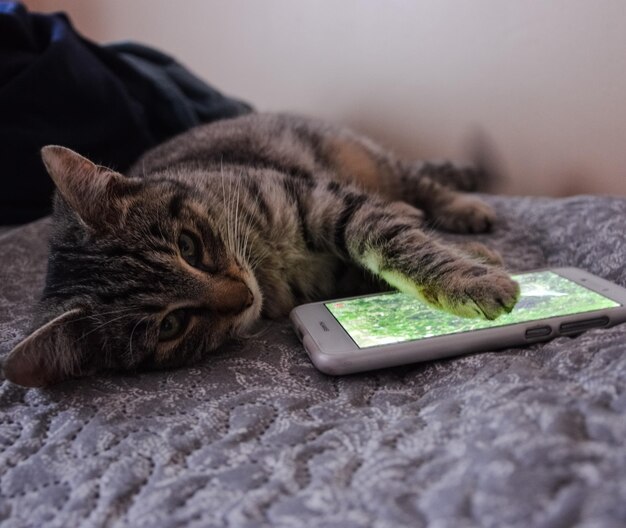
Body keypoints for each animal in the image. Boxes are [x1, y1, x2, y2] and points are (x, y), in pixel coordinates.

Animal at [1, 113, 516, 386]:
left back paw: (462, 208)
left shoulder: (324, 201)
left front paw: (472, 276)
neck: (264, 261)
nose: (245, 297)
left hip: (369, 163)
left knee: (417, 182)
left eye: (188, 245)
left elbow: (396, 243)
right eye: (170, 325)